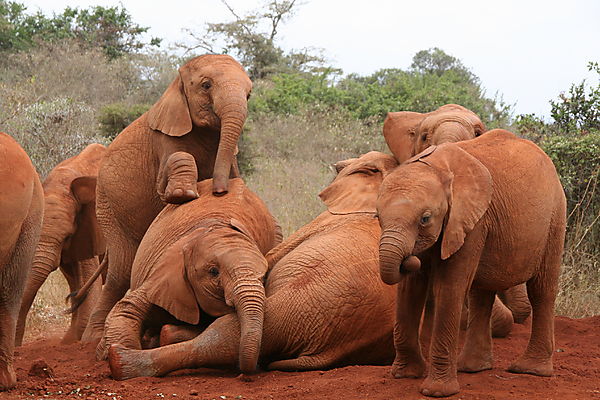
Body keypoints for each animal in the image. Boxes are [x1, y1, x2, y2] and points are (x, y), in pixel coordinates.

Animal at [82, 53, 253, 342]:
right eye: (206, 85)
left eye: (250, 94)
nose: (219, 191)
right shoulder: (164, 141)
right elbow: (166, 180)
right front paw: (182, 194)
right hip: (106, 205)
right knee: (121, 271)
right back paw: (91, 339)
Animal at [378, 129, 564, 396]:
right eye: (378, 217)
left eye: (425, 219)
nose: (409, 261)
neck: (437, 169)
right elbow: (410, 290)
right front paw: (406, 375)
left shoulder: (472, 220)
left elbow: (449, 287)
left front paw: (437, 392)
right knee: (481, 293)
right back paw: (472, 368)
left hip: (555, 218)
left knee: (541, 290)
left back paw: (530, 370)